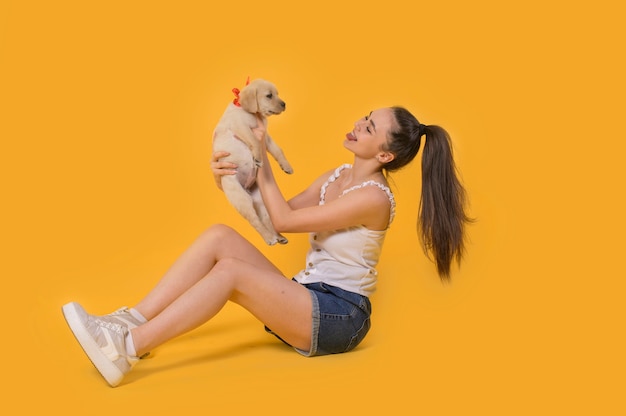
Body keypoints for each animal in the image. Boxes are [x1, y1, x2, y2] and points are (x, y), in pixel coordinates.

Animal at [212, 78, 292, 244]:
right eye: (269, 96)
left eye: (277, 94)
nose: (284, 104)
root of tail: (247, 189)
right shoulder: (241, 127)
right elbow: (254, 141)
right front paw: (258, 158)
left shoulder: (265, 137)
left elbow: (278, 150)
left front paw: (286, 166)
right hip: (242, 200)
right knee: (255, 222)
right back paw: (269, 238)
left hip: (261, 202)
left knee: (267, 220)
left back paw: (279, 237)